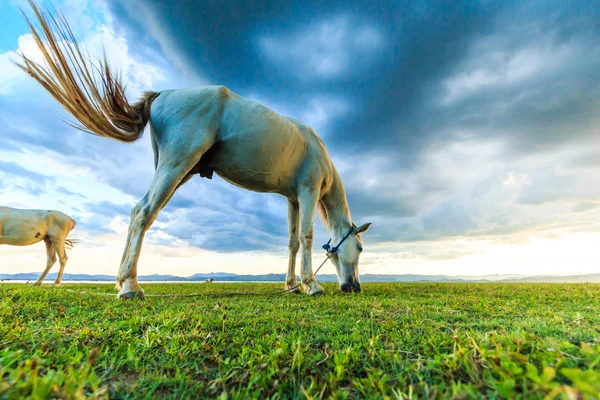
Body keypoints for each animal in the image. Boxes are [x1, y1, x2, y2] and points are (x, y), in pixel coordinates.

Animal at [16, 2, 370, 296]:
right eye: (361, 248)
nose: (354, 287)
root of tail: (162, 94)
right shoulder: (308, 193)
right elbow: (307, 236)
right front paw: (311, 285)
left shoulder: (293, 199)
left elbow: (292, 242)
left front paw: (291, 285)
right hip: (176, 167)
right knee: (143, 212)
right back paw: (130, 286)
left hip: (177, 170)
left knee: (138, 212)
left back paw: (123, 280)